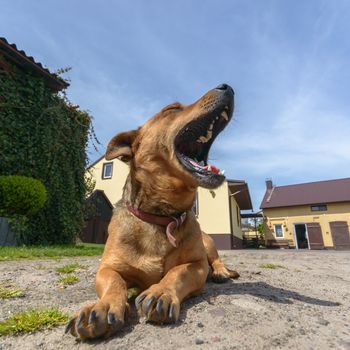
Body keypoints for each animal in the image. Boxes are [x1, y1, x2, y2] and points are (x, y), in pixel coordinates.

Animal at [65, 83, 239, 340]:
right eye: (172, 109)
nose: (227, 86)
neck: (162, 217)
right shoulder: (107, 268)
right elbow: (114, 282)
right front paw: (103, 306)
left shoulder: (197, 264)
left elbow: (177, 272)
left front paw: (161, 291)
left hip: (207, 241)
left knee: (216, 259)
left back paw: (220, 272)